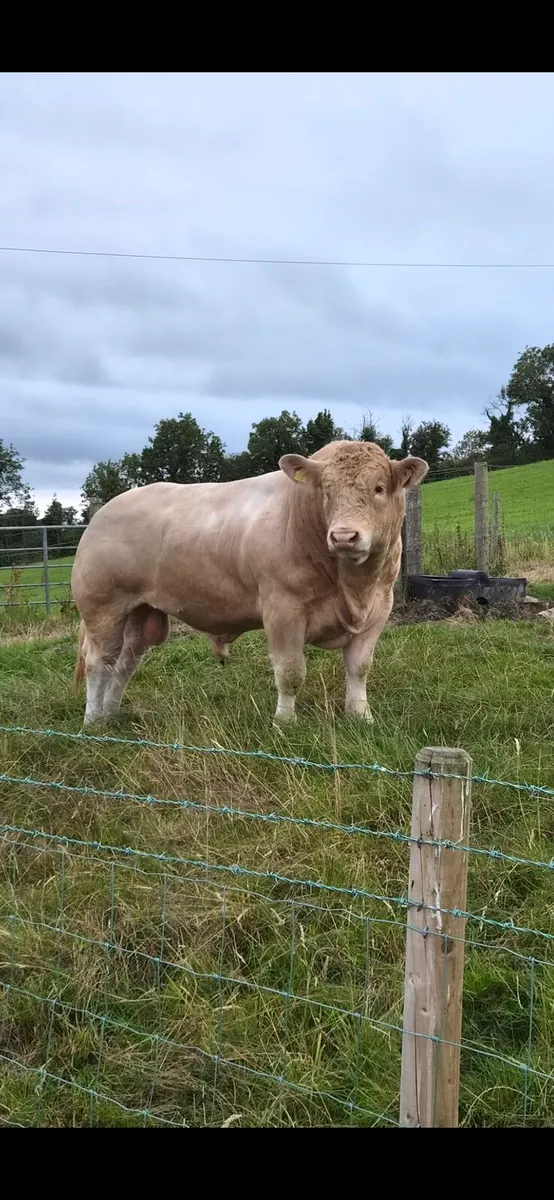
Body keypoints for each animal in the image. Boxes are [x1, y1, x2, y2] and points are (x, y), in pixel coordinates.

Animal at [71, 440, 428, 727]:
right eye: (326, 491)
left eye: (379, 488)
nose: (343, 537)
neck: (353, 589)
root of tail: (102, 513)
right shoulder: (282, 609)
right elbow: (290, 672)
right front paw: (285, 722)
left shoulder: (379, 608)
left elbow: (359, 667)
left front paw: (360, 716)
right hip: (103, 608)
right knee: (99, 663)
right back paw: (93, 721)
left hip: (140, 613)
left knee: (125, 664)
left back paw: (110, 713)